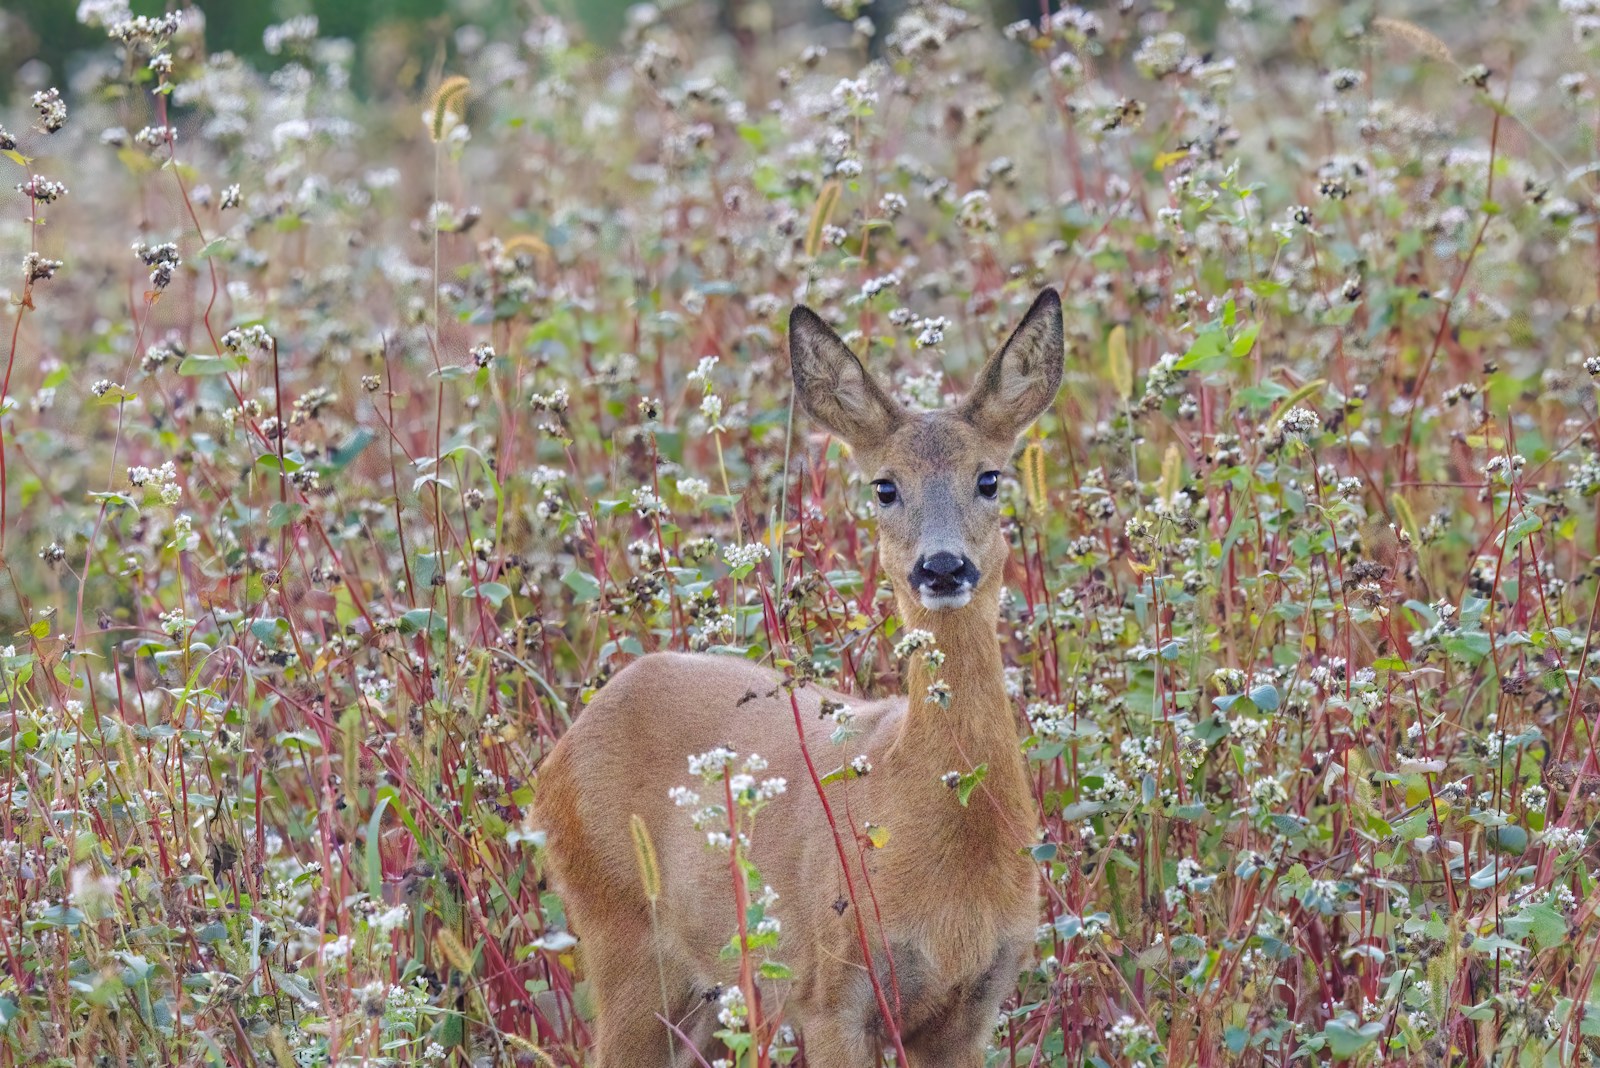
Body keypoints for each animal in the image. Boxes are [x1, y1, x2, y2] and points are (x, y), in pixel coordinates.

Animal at [535, 288, 1062, 1066]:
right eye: (884, 486)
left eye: (989, 478)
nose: (941, 567)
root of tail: (556, 757)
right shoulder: (830, 990)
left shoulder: (975, 1005)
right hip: (622, 935)